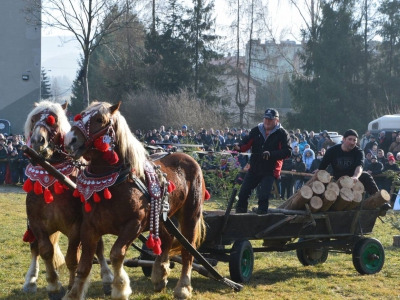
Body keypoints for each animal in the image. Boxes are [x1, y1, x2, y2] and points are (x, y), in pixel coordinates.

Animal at [22, 102, 112, 298]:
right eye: (33, 119)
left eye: (53, 120)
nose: (38, 141)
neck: (54, 176)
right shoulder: (36, 222)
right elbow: (45, 251)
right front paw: (54, 286)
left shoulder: (78, 224)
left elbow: (73, 259)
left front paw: (71, 288)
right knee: (34, 247)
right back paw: (30, 280)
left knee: (98, 247)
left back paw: (108, 278)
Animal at [63, 102, 206, 298]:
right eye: (80, 115)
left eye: (99, 119)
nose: (69, 139)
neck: (114, 181)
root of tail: (188, 157)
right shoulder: (89, 227)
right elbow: (84, 265)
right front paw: (73, 293)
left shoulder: (134, 224)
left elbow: (116, 254)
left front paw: (120, 288)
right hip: (161, 216)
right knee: (167, 238)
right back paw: (159, 275)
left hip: (190, 214)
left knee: (188, 250)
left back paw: (183, 288)